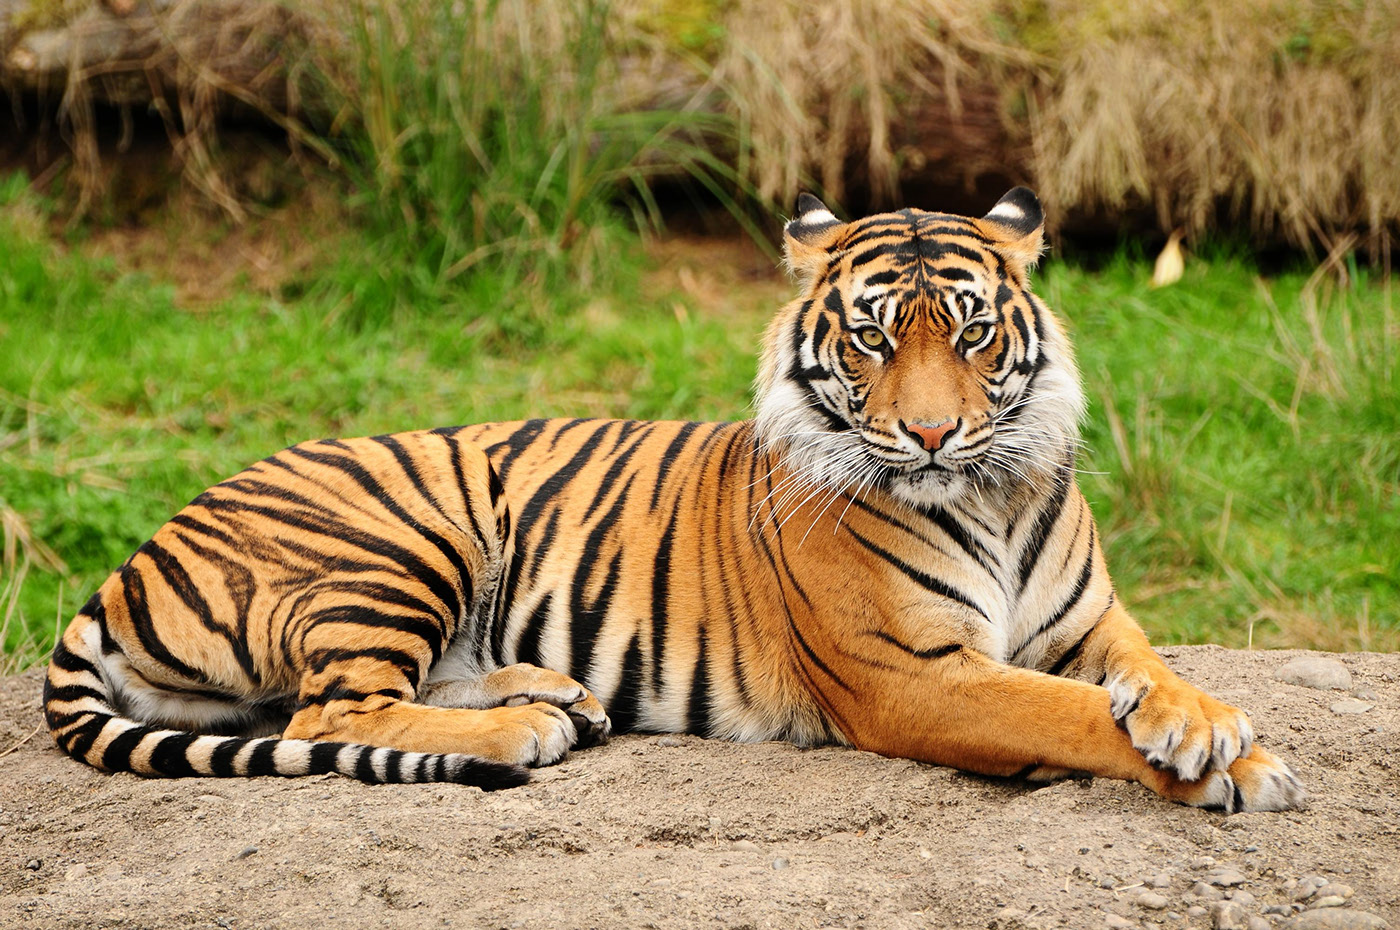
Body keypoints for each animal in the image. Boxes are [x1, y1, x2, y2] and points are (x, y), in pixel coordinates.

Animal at [43, 190, 1304, 812]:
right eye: (870, 340)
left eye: (972, 333)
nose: (931, 433)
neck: (987, 495)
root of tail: (130, 557)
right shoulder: (913, 675)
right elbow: (1063, 715)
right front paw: (1232, 769)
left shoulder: (1090, 623)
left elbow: (1143, 676)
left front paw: (1205, 727)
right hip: (402, 534)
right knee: (327, 714)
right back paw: (523, 727)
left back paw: (555, 694)